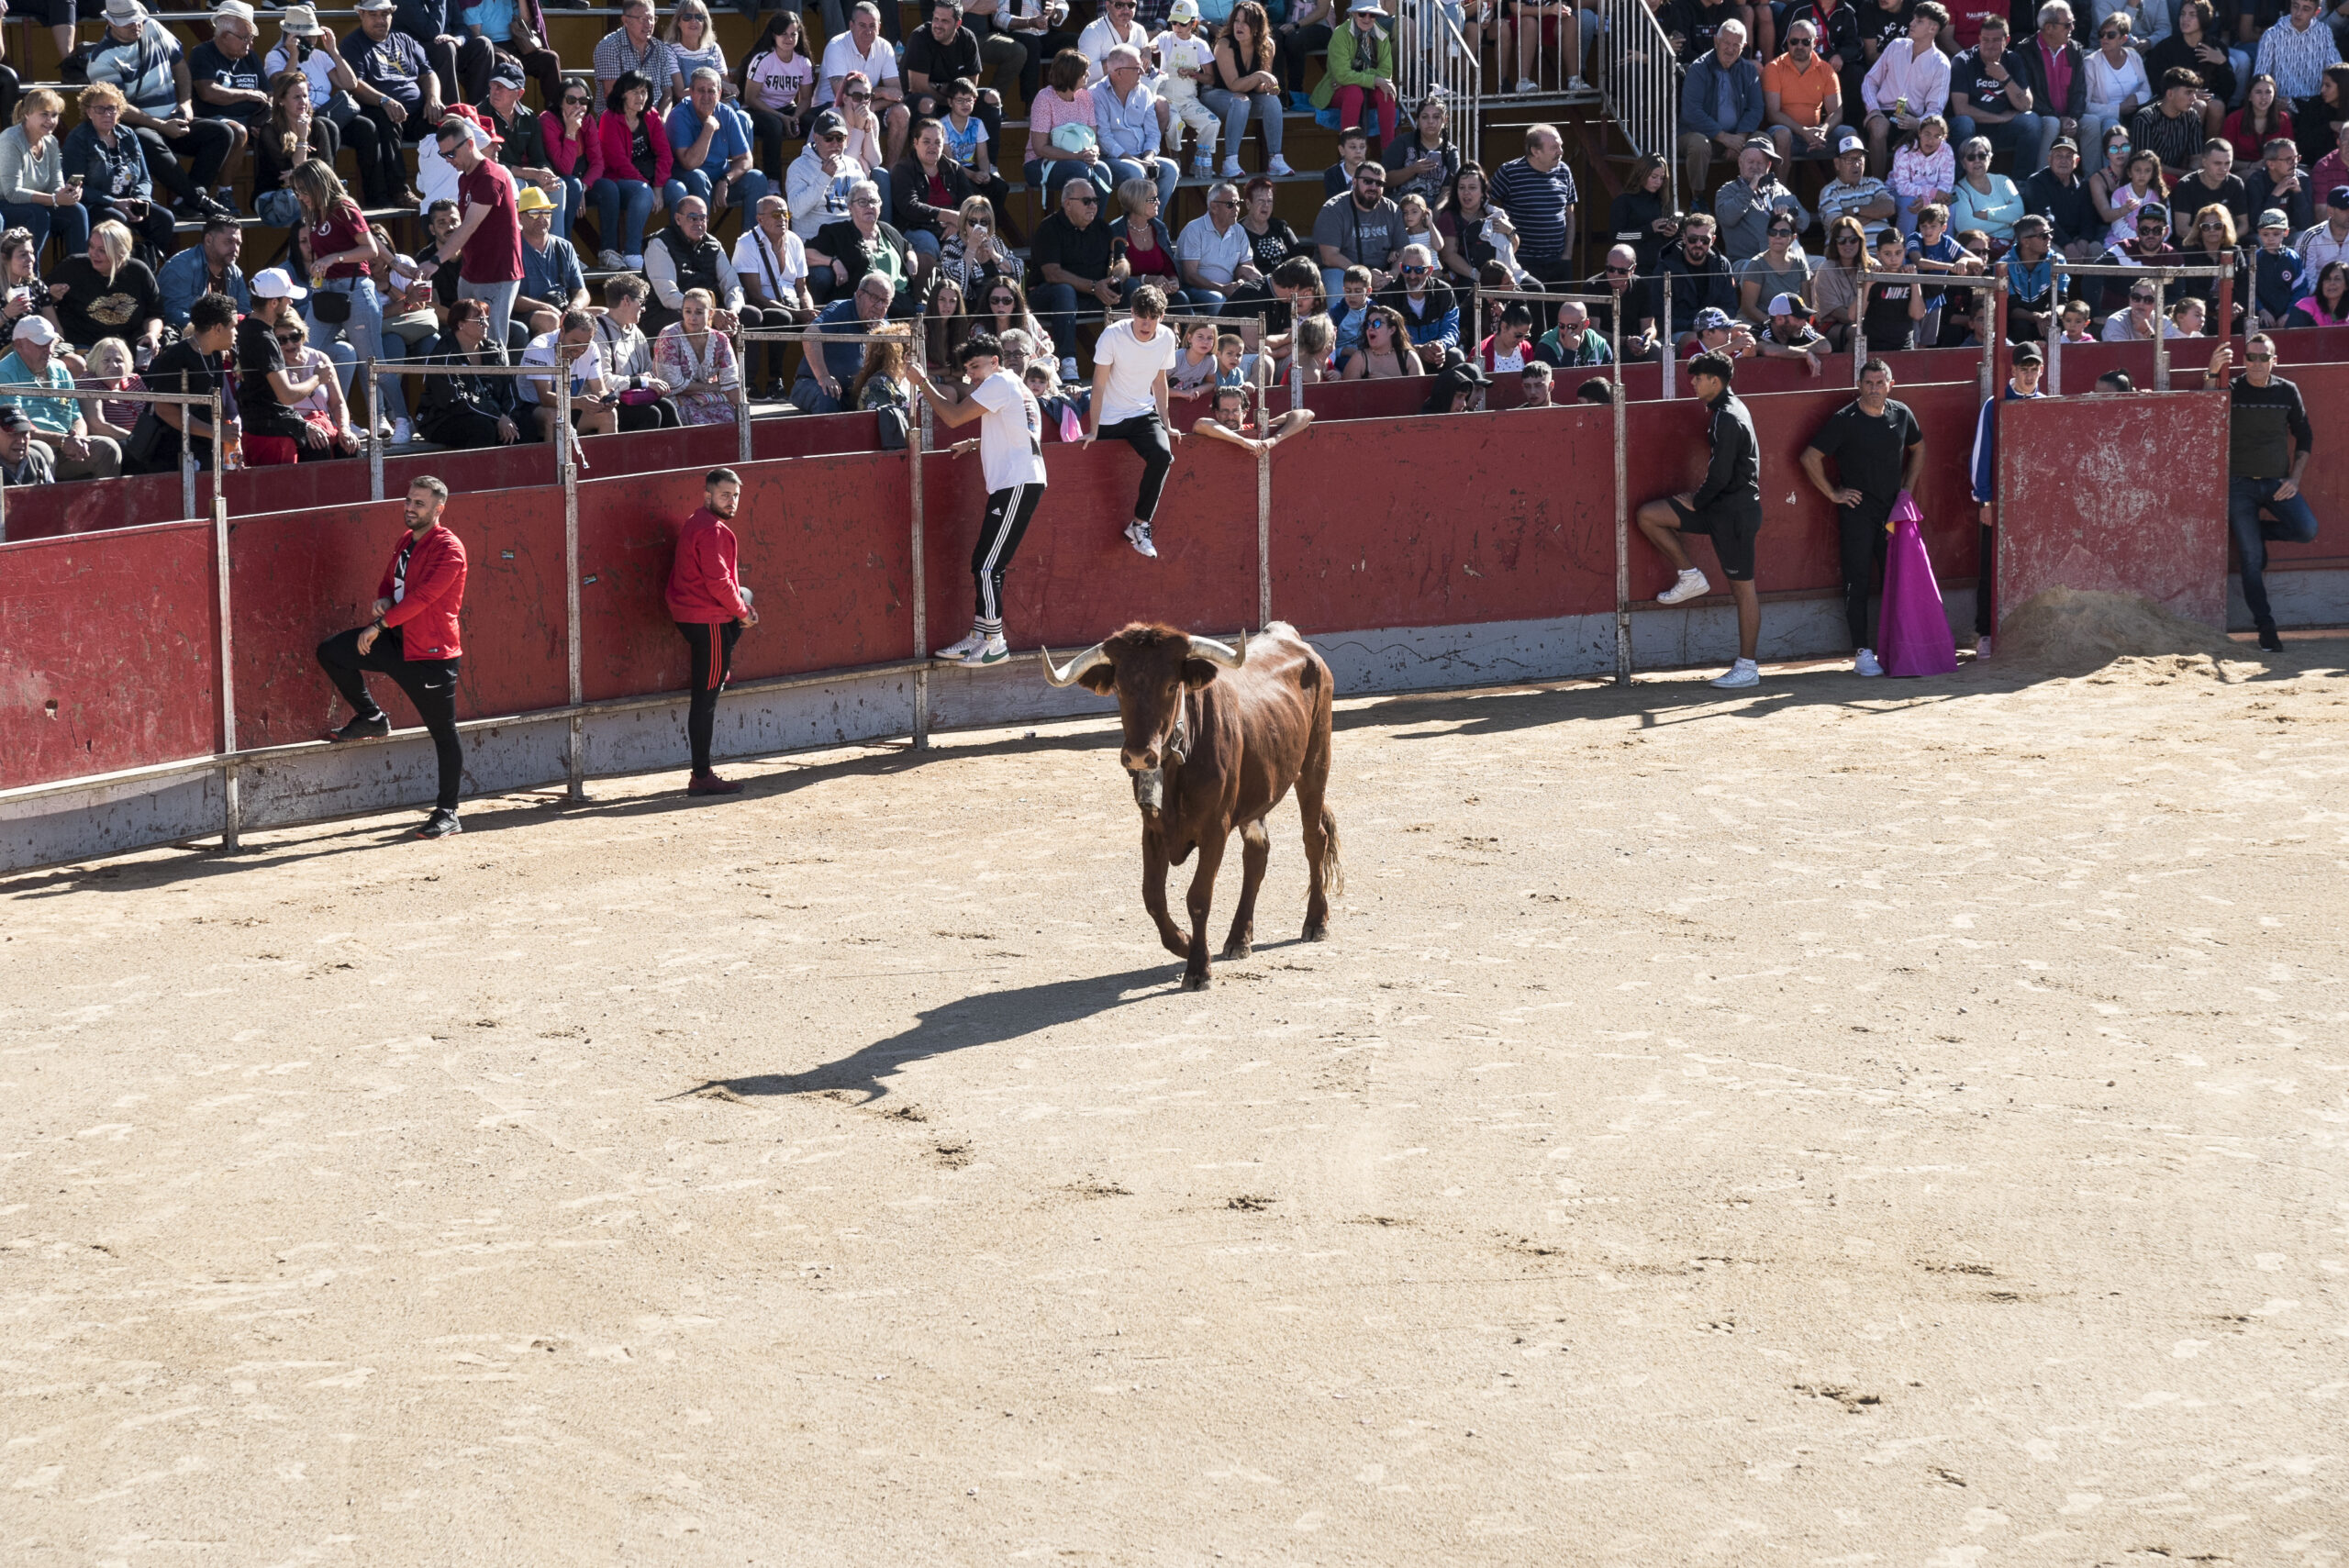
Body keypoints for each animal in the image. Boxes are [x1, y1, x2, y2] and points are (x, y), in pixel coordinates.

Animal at [1047, 619, 1343, 985]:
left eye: (1172, 685)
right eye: (1119, 687)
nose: (1139, 756)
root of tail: (1287, 634)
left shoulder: (1215, 827)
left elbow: (1199, 897)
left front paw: (1198, 967)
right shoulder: (1152, 828)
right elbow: (1153, 897)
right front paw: (1185, 944)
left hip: (1315, 764)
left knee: (1314, 839)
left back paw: (1315, 922)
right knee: (1257, 854)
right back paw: (1238, 938)